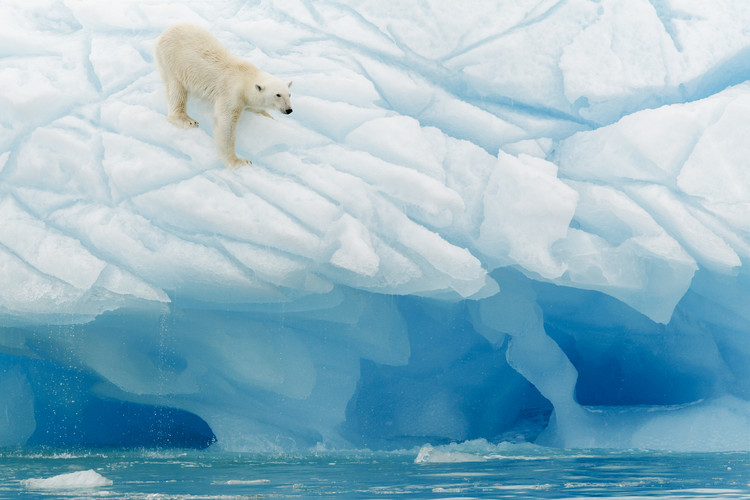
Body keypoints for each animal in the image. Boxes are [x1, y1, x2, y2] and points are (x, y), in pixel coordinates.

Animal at [154, 23, 293, 168]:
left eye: (289, 94)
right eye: (278, 95)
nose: (289, 110)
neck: (246, 76)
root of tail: (164, 34)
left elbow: (253, 107)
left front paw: (268, 116)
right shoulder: (231, 93)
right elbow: (226, 124)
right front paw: (239, 161)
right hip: (171, 61)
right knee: (176, 90)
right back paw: (187, 119)